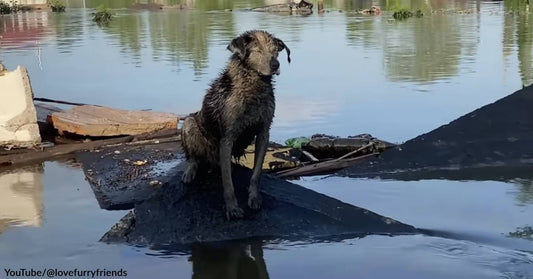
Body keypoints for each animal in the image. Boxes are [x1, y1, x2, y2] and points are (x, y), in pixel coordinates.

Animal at [182, 29, 290, 220]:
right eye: (257, 50)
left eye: (275, 51)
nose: (275, 65)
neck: (254, 88)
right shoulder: (227, 138)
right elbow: (228, 183)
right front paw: (232, 208)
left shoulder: (264, 132)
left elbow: (256, 174)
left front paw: (254, 198)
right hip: (189, 124)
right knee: (194, 158)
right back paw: (190, 172)